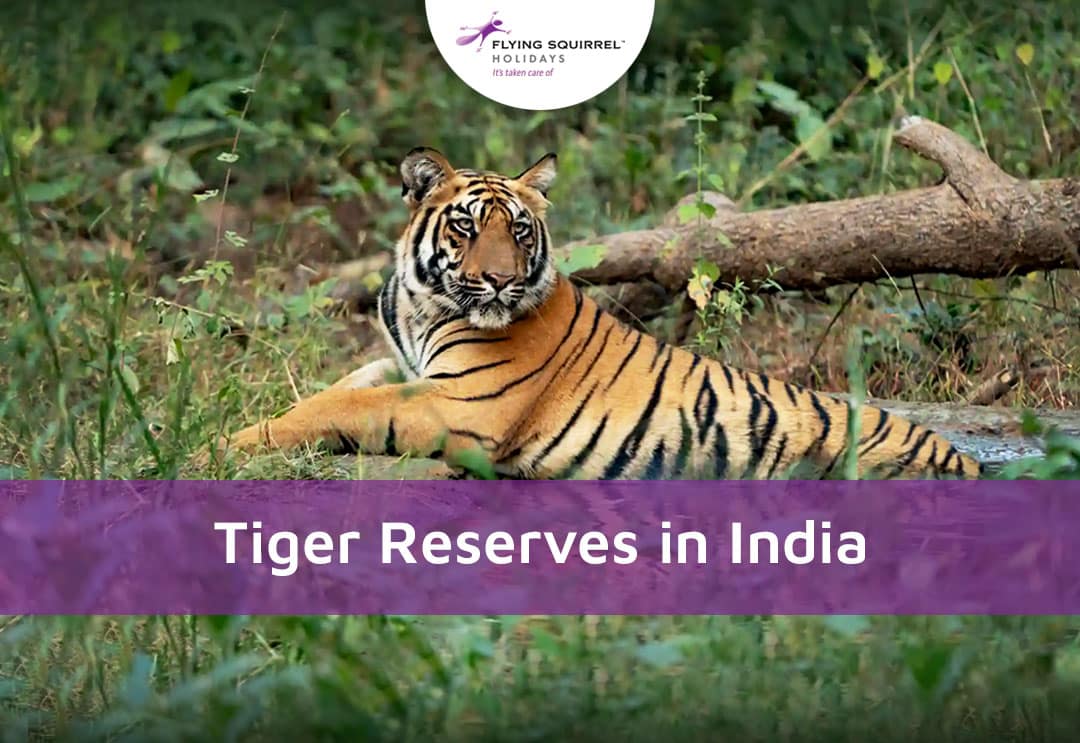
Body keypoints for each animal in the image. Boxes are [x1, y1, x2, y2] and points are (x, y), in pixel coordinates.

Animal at [217, 147, 983, 480]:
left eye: (518, 231)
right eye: (466, 228)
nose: (499, 282)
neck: (419, 300)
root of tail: (964, 460)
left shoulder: (461, 405)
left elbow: (337, 409)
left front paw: (224, 444)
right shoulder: (398, 365)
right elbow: (336, 389)